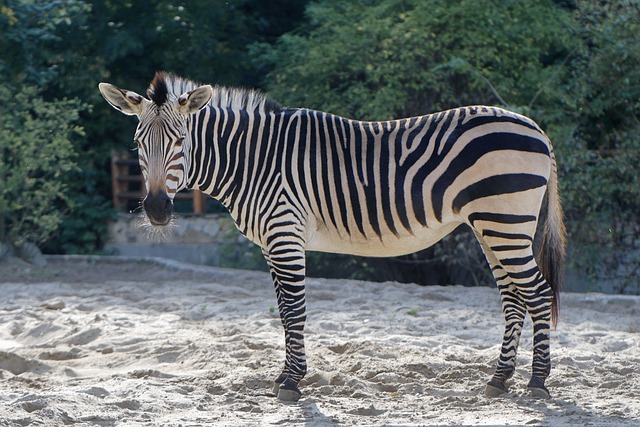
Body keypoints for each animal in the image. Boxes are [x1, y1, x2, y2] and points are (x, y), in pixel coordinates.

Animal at [99, 72, 564, 402]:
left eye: (180, 140)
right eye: (138, 142)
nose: (157, 210)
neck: (252, 161)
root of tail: (536, 127)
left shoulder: (285, 234)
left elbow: (295, 312)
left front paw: (292, 382)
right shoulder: (271, 243)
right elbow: (283, 312)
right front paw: (285, 375)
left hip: (505, 221)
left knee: (538, 294)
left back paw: (537, 383)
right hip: (491, 225)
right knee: (513, 299)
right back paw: (499, 379)